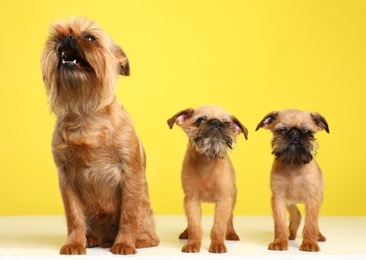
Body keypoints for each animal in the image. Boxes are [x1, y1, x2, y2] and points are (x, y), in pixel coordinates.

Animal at [40, 17, 159, 255]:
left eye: (90, 38)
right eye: (58, 37)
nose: (67, 38)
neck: (86, 114)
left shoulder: (130, 173)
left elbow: (128, 214)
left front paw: (124, 244)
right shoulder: (66, 178)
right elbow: (74, 216)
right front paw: (74, 243)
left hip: (145, 211)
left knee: (148, 232)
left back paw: (136, 241)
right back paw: (91, 239)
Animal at [167, 104, 247, 253]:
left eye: (226, 123)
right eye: (201, 120)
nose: (216, 123)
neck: (207, 161)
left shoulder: (223, 200)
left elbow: (219, 226)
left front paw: (218, 244)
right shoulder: (191, 200)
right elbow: (194, 224)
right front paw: (192, 243)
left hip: (232, 198)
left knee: (229, 218)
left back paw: (231, 233)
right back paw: (186, 233)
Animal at [256, 109, 330, 252]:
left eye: (307, 131)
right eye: (282, 130)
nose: (294, 133)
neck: (293, 164)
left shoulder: (312, 198)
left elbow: (311, 223)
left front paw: (309, 243)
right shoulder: (278, 198)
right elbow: (280, 222)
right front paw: (280, 241)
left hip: (319, 198)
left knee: (314, 220)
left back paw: (318, 236)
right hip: (289, 202)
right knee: (296, 214)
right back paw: (290, 233)